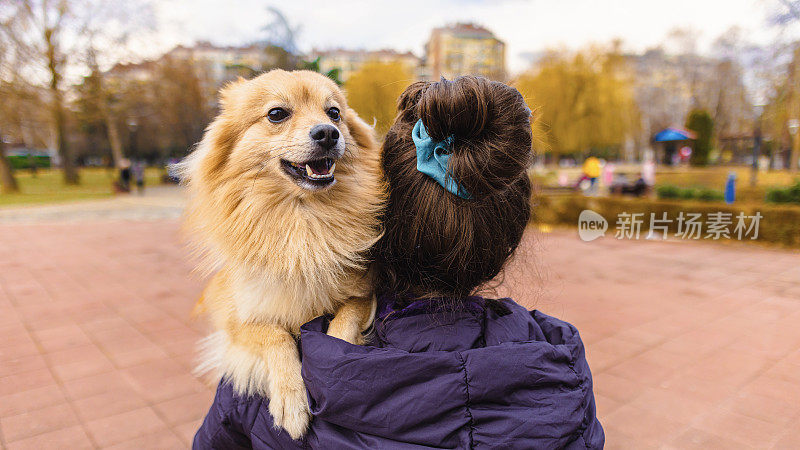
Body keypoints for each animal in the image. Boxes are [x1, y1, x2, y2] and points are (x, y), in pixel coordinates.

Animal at [181, 71, 384, 440]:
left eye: (334, 113)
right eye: (276, 114)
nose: (328, 132)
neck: (300, 220)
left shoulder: (364, 294)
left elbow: (342, 324)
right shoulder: (236, 319)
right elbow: (274, 334)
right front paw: (291, 400)